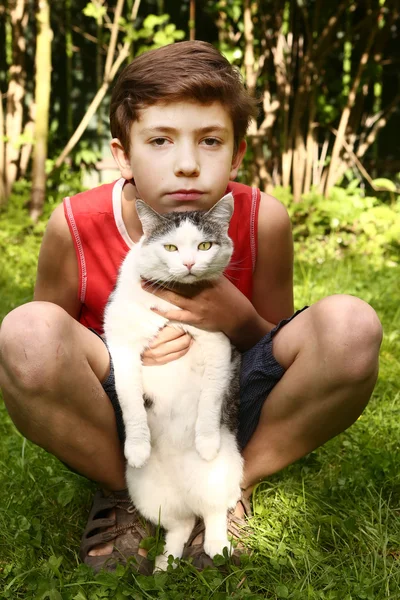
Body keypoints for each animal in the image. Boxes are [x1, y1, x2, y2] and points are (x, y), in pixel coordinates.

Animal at [103, 192, 242, 572]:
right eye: (170, 247)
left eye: (205, 245)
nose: (191, 263)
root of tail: (186, 495)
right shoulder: (121, 342)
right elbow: (129, 399)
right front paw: (137, 447)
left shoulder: (218, 343)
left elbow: (210, 399)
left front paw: (206, 441)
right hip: (146, 494)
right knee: (181, 524)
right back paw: (165, 565)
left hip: (225, 475)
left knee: (211, 513)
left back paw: (216, 546)